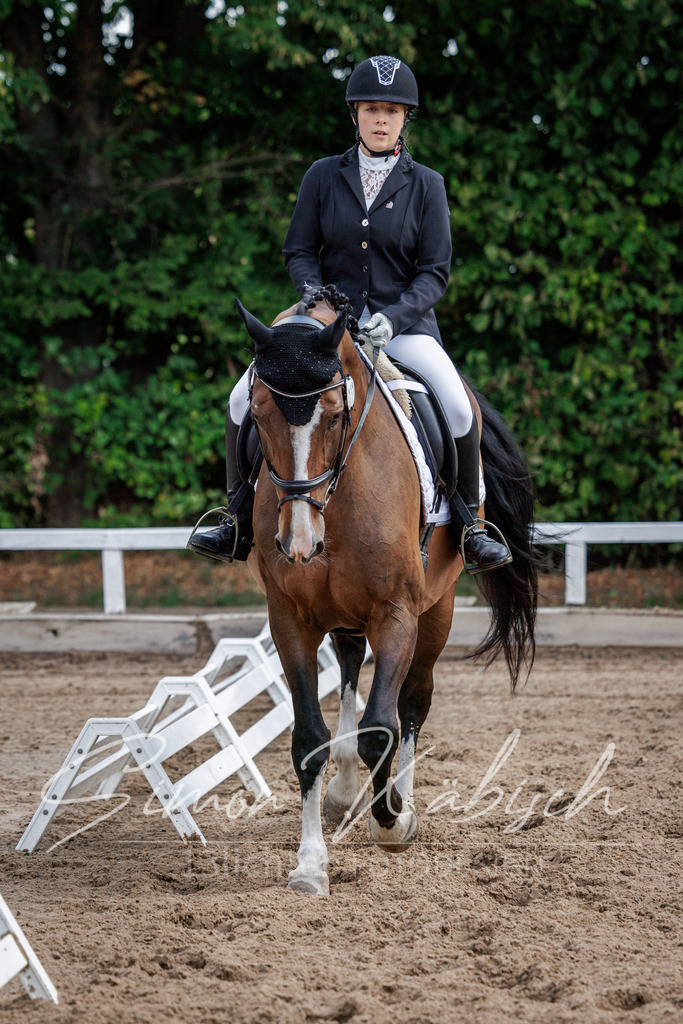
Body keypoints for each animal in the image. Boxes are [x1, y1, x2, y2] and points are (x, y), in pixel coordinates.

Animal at [235, 286, 538, 896]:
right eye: (257, 413)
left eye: (334, 415)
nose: (298, 543)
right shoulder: (290, 618)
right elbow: (308, 736)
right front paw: (310, 864)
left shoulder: (398, 612)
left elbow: (384, 726)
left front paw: (393, 822)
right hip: (345, 617)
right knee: (352, 671)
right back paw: (346, 792)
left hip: (437, 610)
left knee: (414, 701)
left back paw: (399, 798)